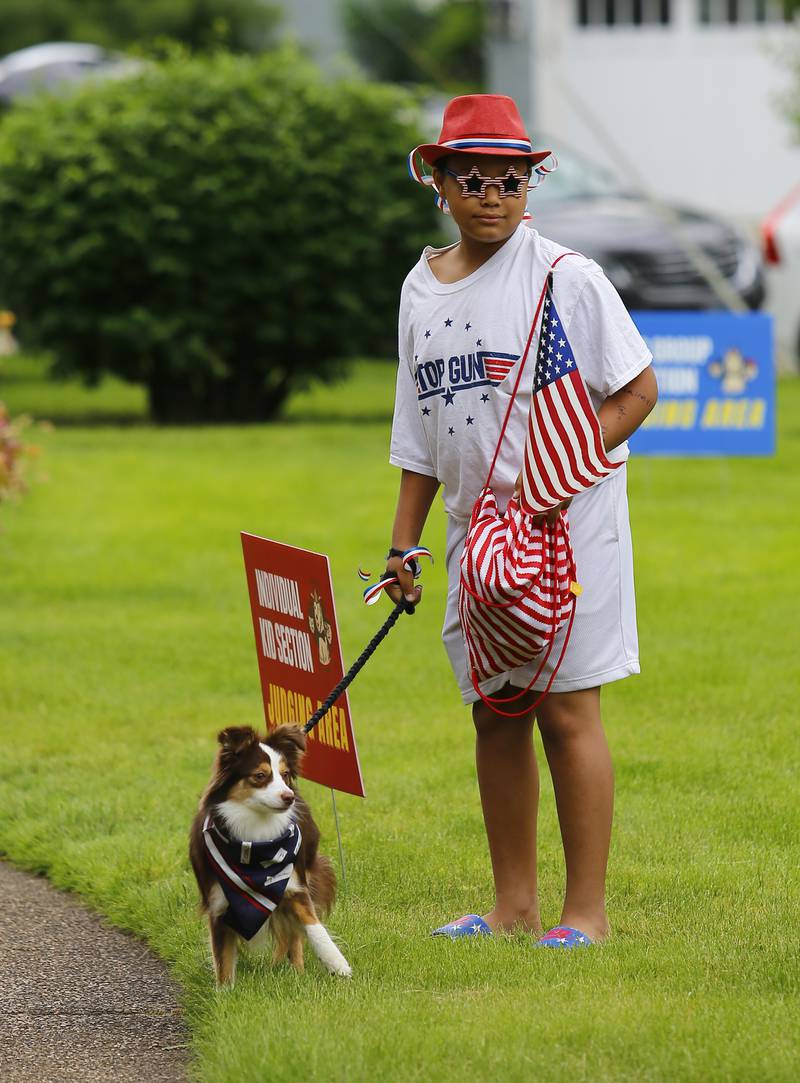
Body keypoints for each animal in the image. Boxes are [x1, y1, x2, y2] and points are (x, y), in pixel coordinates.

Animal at [189, 723, 352, 987]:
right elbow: (223, 961)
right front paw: (225, 993)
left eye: (284, 775)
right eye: (260, 776)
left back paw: (297, 973)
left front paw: (338, 964)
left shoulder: (295, 885)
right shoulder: (218, 905)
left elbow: (314, 925)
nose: (289, 797)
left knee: (294, 934)